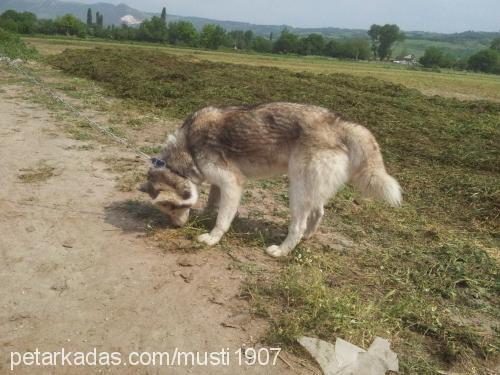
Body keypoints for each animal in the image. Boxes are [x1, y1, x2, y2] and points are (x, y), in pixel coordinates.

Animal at [138, 102, 402, 258]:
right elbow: (212, 203)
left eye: (172, 207)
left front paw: (212, 238)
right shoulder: (217, 184)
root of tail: (337, 123)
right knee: (318, 213)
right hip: (309, 187)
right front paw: (204, 216)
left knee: (297, 225)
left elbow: (223, 219)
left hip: (297, 189)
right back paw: (307, 238)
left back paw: (281, 250)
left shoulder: (232, 184)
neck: (187, 150)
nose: (176, 227)